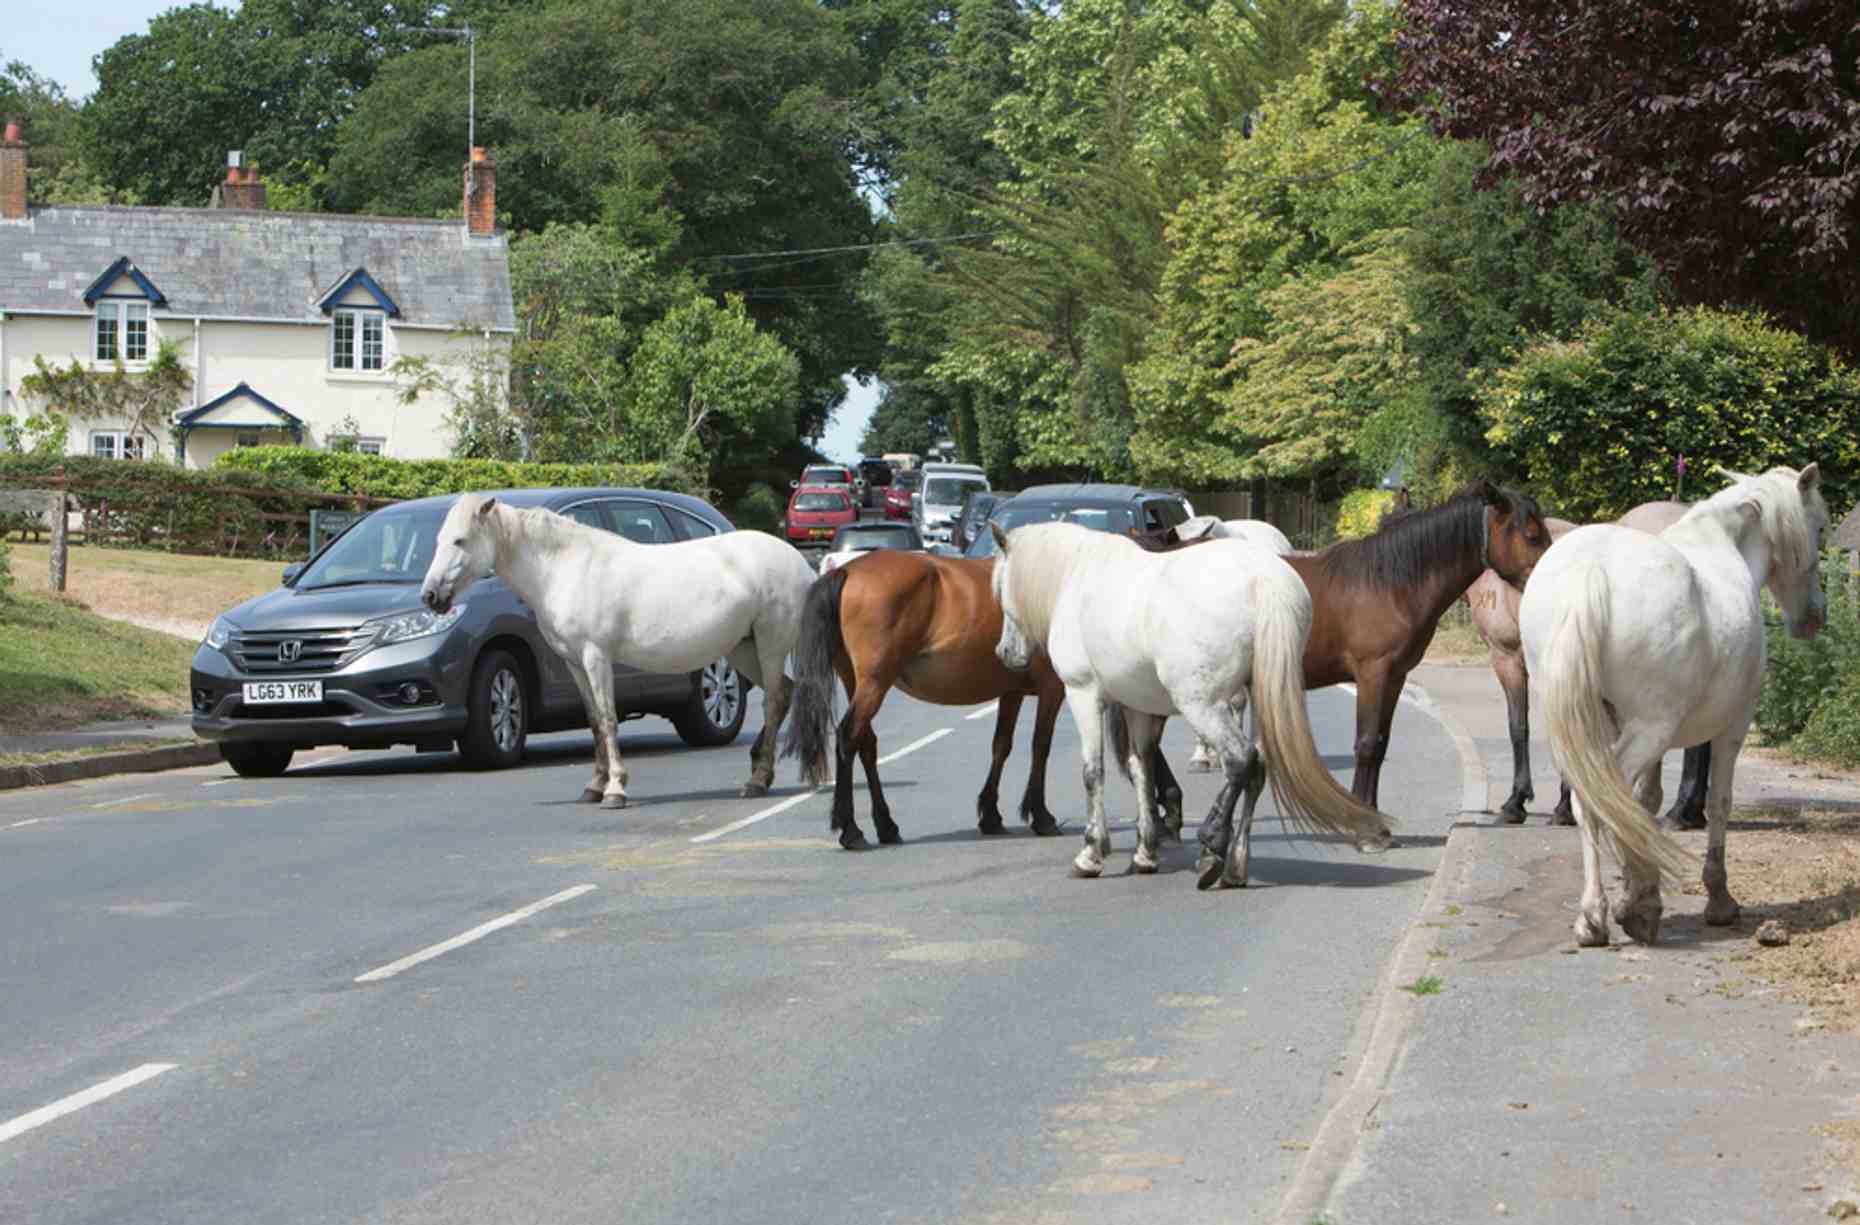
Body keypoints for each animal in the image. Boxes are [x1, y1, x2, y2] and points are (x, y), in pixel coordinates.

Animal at [419, 493, 822, 808]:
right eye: (437, 540)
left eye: (460, 541)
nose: (431, 596)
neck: (563, 569)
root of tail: (801, 564)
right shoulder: (574, 662)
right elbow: (595, 720)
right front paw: (594, 786)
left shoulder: (596, 656)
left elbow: (609, 718)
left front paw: (615, 789)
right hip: (742, 648)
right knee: (785, 693)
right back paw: (764, 771)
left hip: (770, 645)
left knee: (773, 701)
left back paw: (757, 780)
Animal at [780, 549, 1188, 849]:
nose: (1169, 810)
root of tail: (848, 570)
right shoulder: (1053, 689)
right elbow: (1040, 746)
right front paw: (1040, 815)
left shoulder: (1011, 692)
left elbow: (1001, 746)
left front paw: (990, 814)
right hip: (874, 683)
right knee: (848, 737)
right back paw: (851, 829)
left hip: (858, 682)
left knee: (865, 743)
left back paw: (886, 824)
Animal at [990, 520, 1390, 883]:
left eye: (1001, 588)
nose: (1005, 653)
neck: (1077, 578)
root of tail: (1263, 582)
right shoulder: (1136, 705)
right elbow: (1141, 768)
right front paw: (1144, 853)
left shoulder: (1084, 694)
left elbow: (1094, 772)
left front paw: (1091, 854)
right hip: (1259, 698)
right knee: (1259, 768)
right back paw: (1235, 865)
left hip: (1202, 705)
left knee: (1241, 760)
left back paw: (1213, 846)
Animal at [1148, 483, 1551, 888]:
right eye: (1532, 534)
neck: (1390, 583)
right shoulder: (1373, 673)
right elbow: (1367, 745)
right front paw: (1366, 831)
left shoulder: (1394, 677)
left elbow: (1380, 745)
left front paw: (1374, 820)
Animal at [1520, 465, 1828, 947]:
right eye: (1819, 528)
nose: (1814, 618)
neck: (1722, 541)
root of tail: (1590, 572)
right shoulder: (1733, 727)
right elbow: (1718, 802)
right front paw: (1715, 900)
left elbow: (1644, 802)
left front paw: (1637, 888)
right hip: (1651, 728)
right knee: (1603, 798)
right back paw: (1614, 912)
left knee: (1591, 800)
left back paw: (1596, 917)